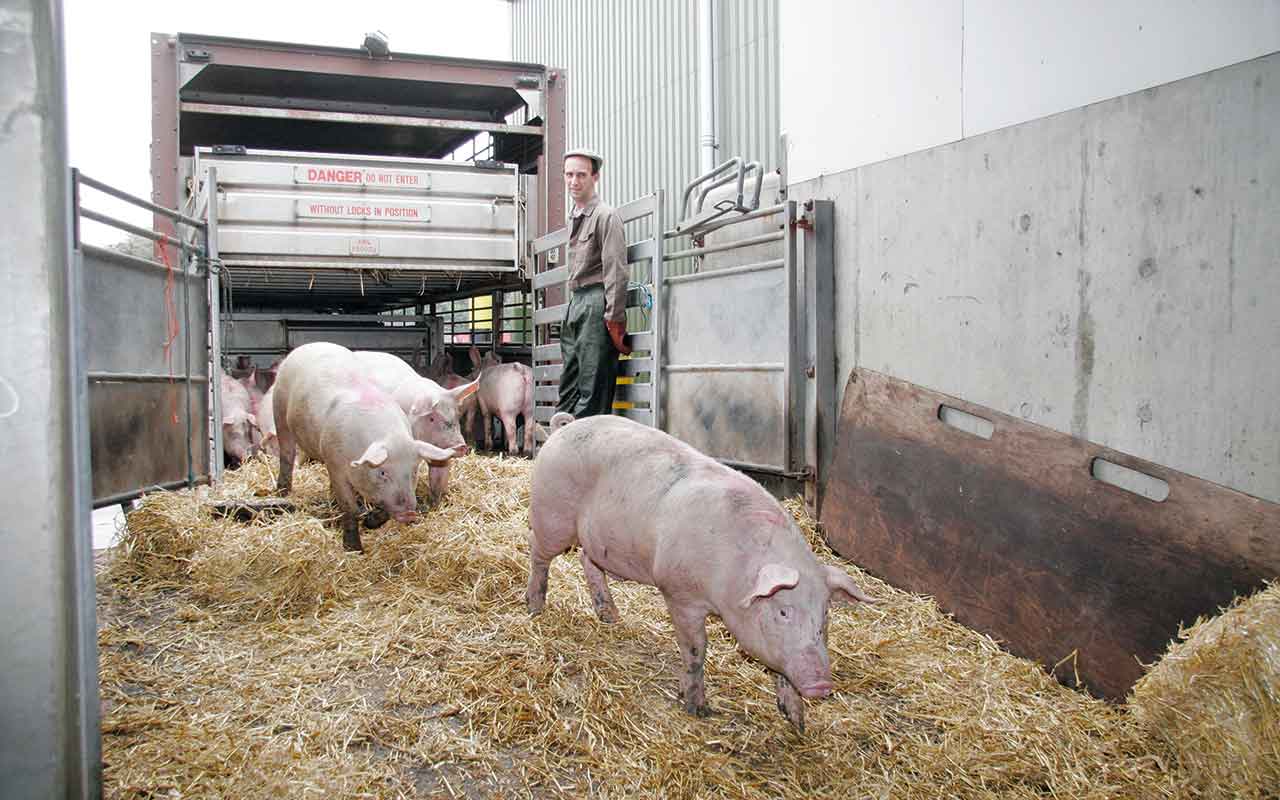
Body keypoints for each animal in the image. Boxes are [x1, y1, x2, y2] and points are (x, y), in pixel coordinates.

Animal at [272, 342, 463, 552]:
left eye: (413, 472)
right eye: (382, 472)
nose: (410, 513)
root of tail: (307, 346)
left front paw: (370, 521)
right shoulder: (336, 465)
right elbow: (349, 509)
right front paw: (354, 549)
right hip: (279, 411)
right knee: (286, 453)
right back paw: (282, 493)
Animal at [526, 414, 877, 731]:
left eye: (825, 615)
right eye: (783, 612)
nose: (821, 685)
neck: (732, 575)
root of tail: (564, 427)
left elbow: (779, 669)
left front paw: (797, 723)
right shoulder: (679, 592)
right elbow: (696, 649)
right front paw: (698, 708)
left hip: (595, 538)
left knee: (587, 560)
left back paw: (611, 618)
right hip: (552, 516)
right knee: (537, 552)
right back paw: (534, 608)